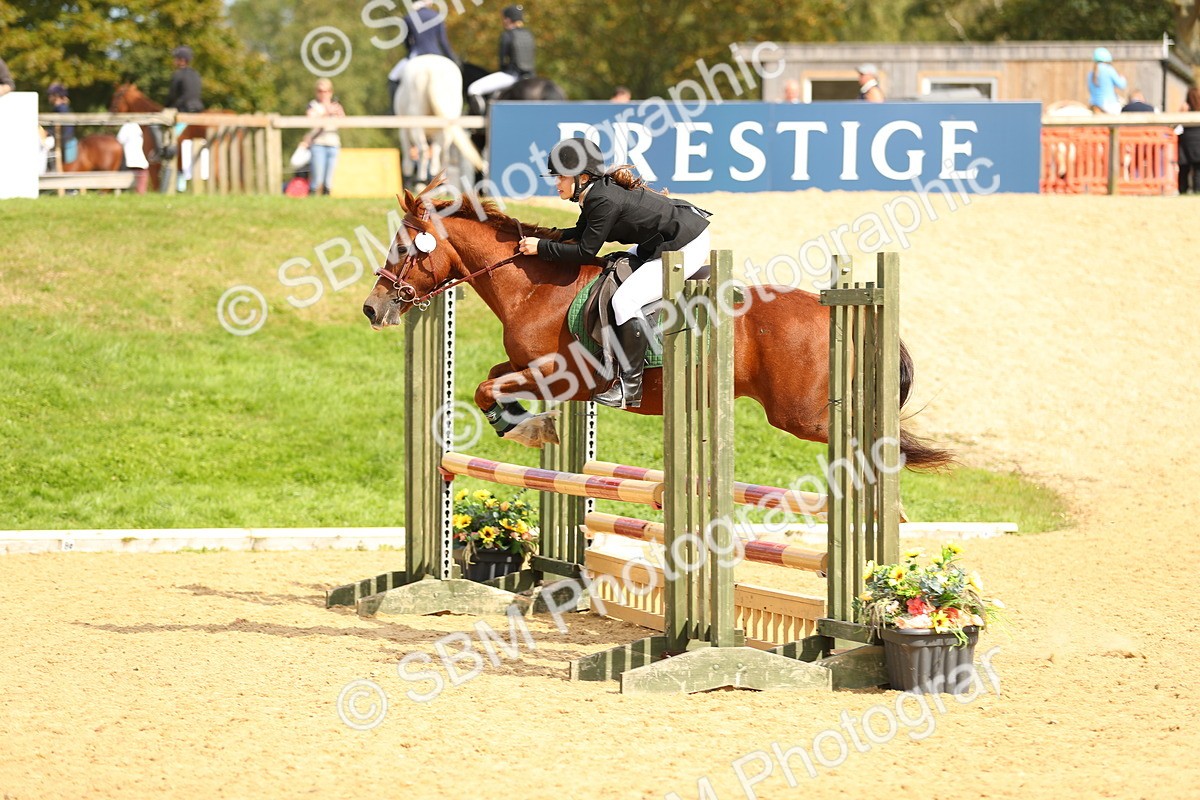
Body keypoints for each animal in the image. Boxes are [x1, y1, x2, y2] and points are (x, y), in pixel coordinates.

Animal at [361, 178, 953, 471]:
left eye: (402, 249)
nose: (372, 308)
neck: (532, 285)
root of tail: (837, 305)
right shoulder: (531, 366)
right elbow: (490, 377)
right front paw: (528, 425)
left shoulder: (562, 373)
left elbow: (487, 388)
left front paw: (530, 428)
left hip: (801, 416)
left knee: (871, 443)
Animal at [393, 55, 485, 188]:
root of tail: (432, 71)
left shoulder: (404, 131)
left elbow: (408, 162)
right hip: (446, 129)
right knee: (439, 154)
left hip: (417, 125)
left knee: (424, 151)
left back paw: (421, 184)